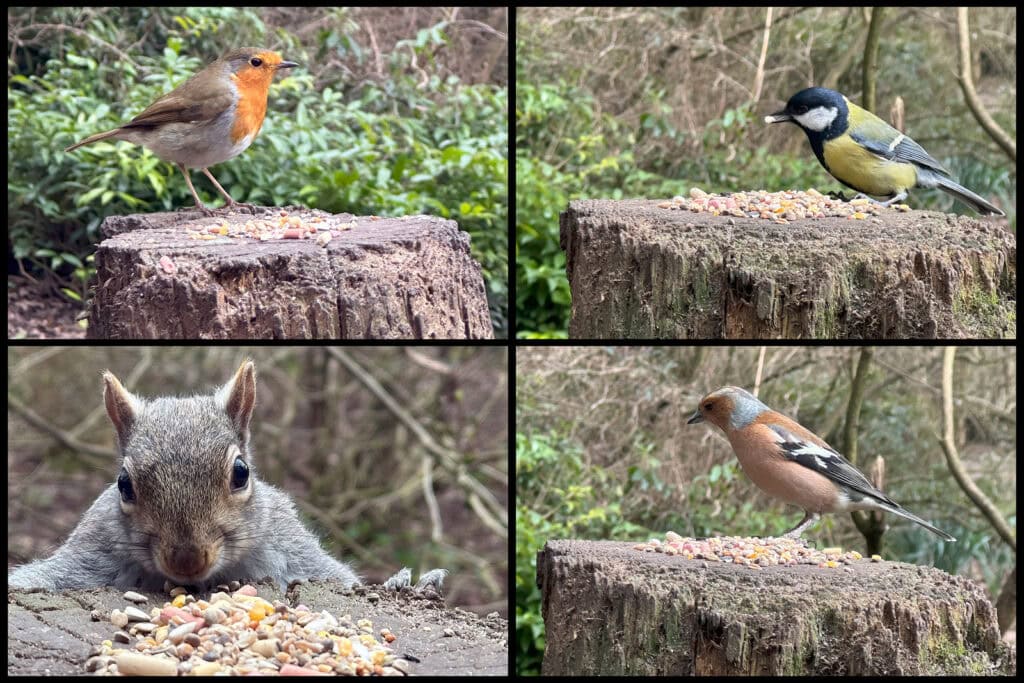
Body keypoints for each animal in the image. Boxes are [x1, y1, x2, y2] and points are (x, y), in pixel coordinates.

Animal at [8, 360, 443, 593]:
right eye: (124, 485)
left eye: (241, 473)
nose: (186, 560)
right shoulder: (88, 554)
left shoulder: (292, 549)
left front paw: (410, 582)